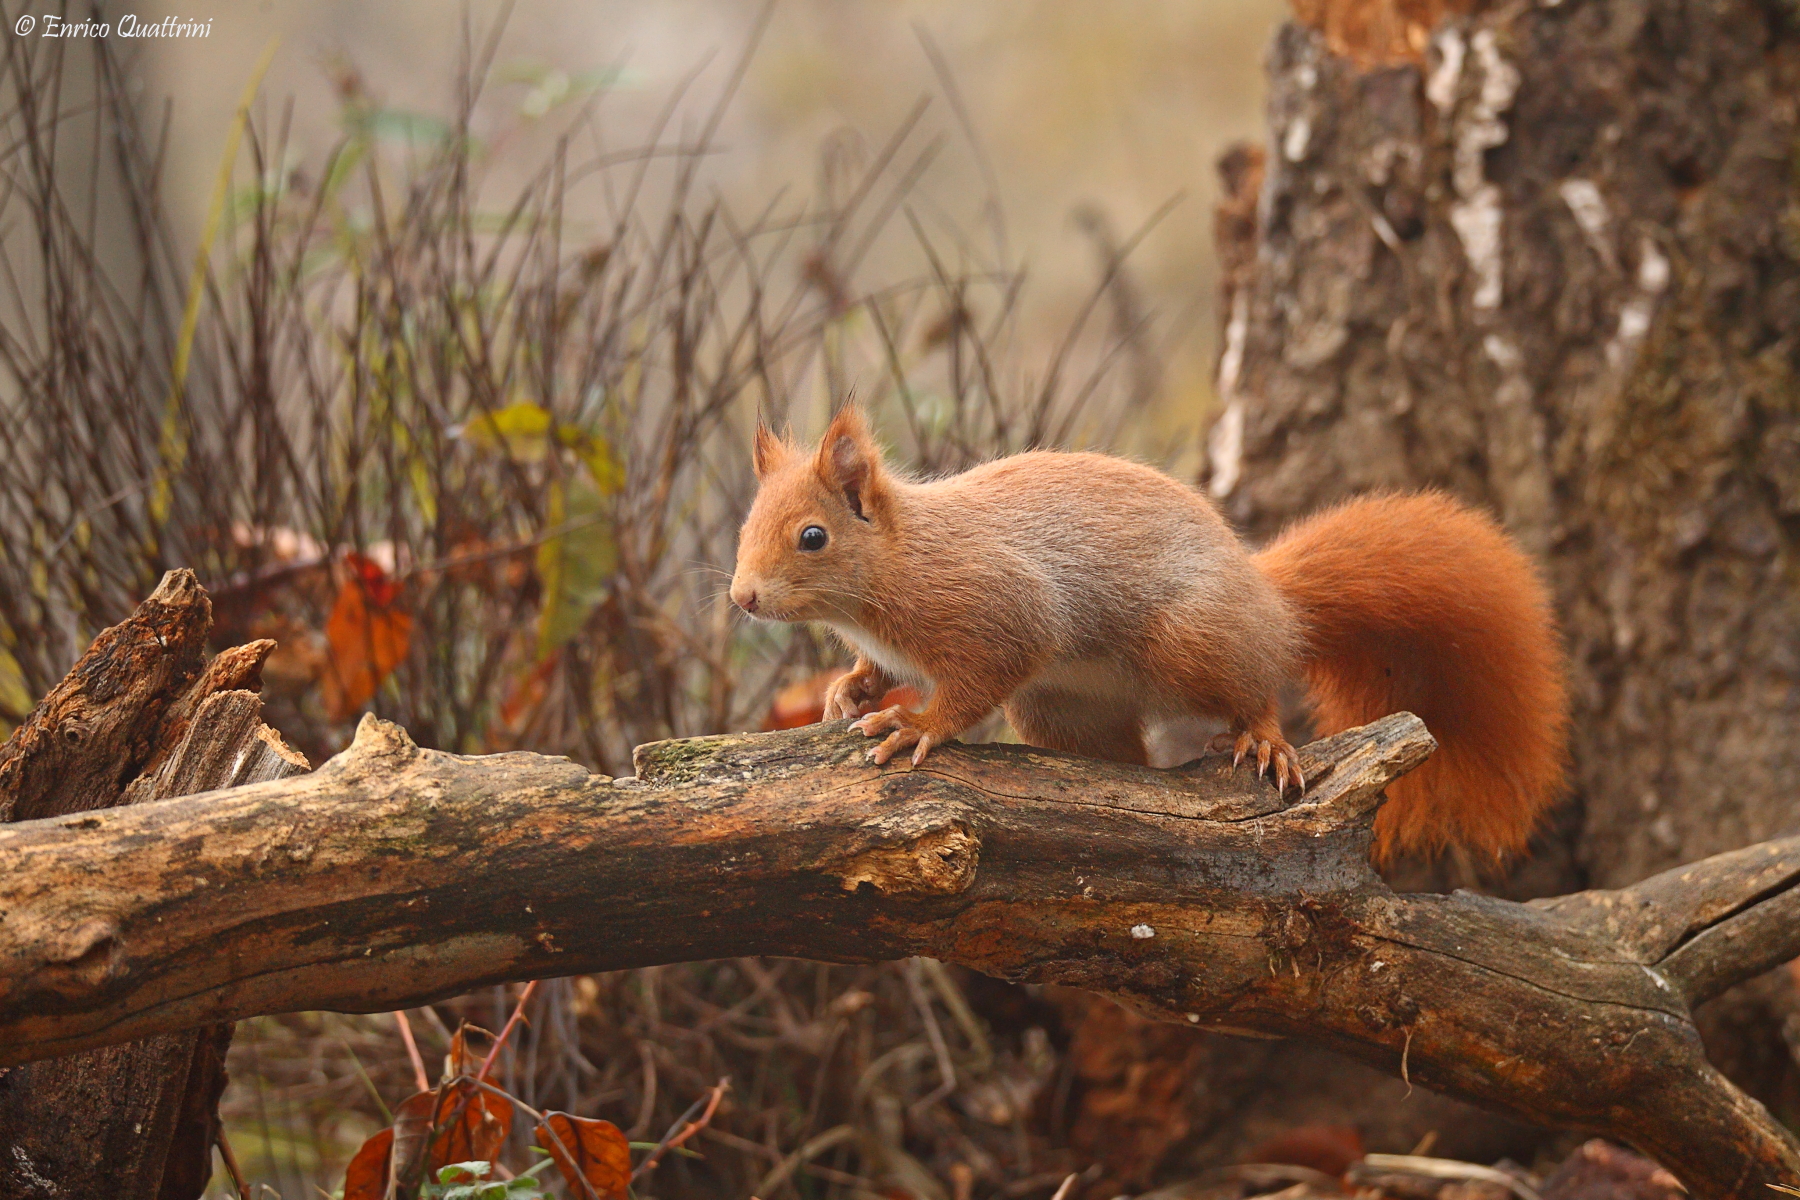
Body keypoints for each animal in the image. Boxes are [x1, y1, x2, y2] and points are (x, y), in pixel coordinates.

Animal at [729, 406, 1569, 863]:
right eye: (746, 524)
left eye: (812, 537)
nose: (742, 598)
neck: (903, 560)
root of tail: (1267, 598)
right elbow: (874, 671)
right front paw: (849, 691)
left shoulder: (999, 606)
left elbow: (982, 675)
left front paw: (918, 725)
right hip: (1062, 709)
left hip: (1191, 639)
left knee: (1256, 686)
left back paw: (1263, 738)